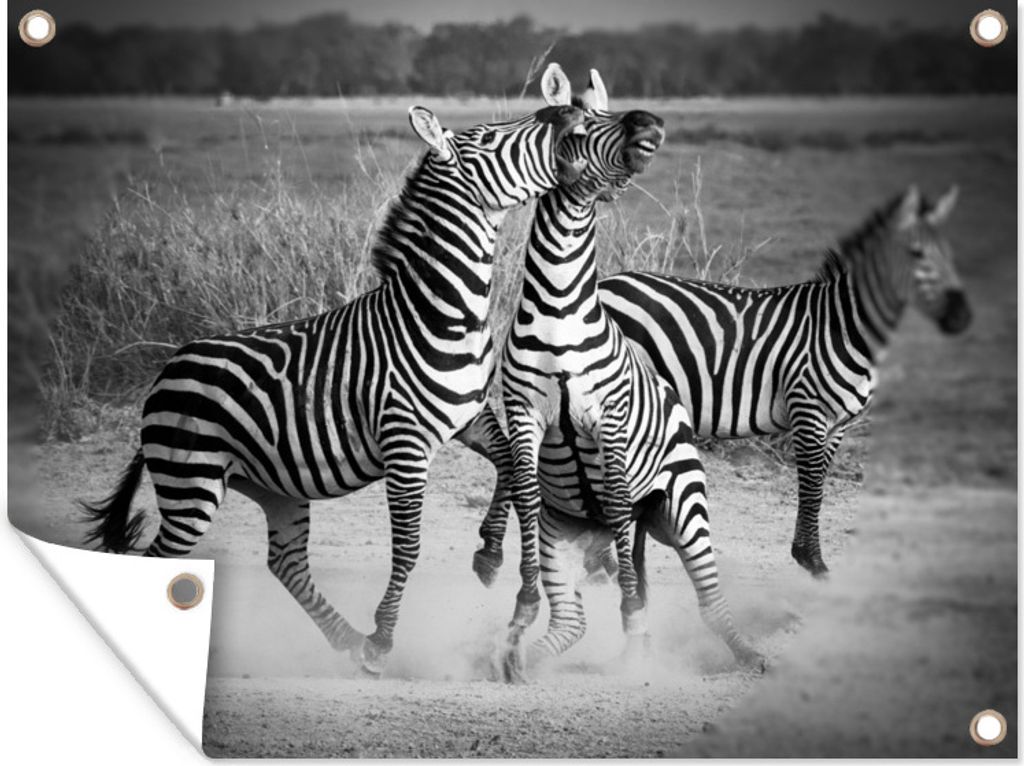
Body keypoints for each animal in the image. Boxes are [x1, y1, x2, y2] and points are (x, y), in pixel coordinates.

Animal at [81, 81, 587, 676]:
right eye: (488, 137)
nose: (568, 110)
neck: (441, 313)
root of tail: (167, 372)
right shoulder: (404, 442)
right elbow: (409, 545)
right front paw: (386, 635)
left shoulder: (470, 418)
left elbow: (514, 472)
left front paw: (496, 563)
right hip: (192, 483)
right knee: (166, 559)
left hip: (270, 485)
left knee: (286, 562)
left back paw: (348, 639)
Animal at [474, 184, 970, 583]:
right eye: (917, 255)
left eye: (951, 255)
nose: (962, 318)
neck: (841, 326)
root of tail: (602, 286)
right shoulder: (809, 410)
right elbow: (812, 486)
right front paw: (813, 562)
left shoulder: (839, 424)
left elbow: (820, 485)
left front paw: (805, 555)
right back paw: (513, 553)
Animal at [499, 67, 761, 680]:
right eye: (579, 126)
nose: (649, 122)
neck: (559, 310)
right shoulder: (524, 416)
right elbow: (525, 498)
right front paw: (520, 617)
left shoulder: (609, 418)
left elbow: (617, 505)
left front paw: (636, 621)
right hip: (565, 530)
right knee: (572, 620)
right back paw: (524, 659)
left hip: (682, 505)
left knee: (709, 599)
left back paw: (748, 657)